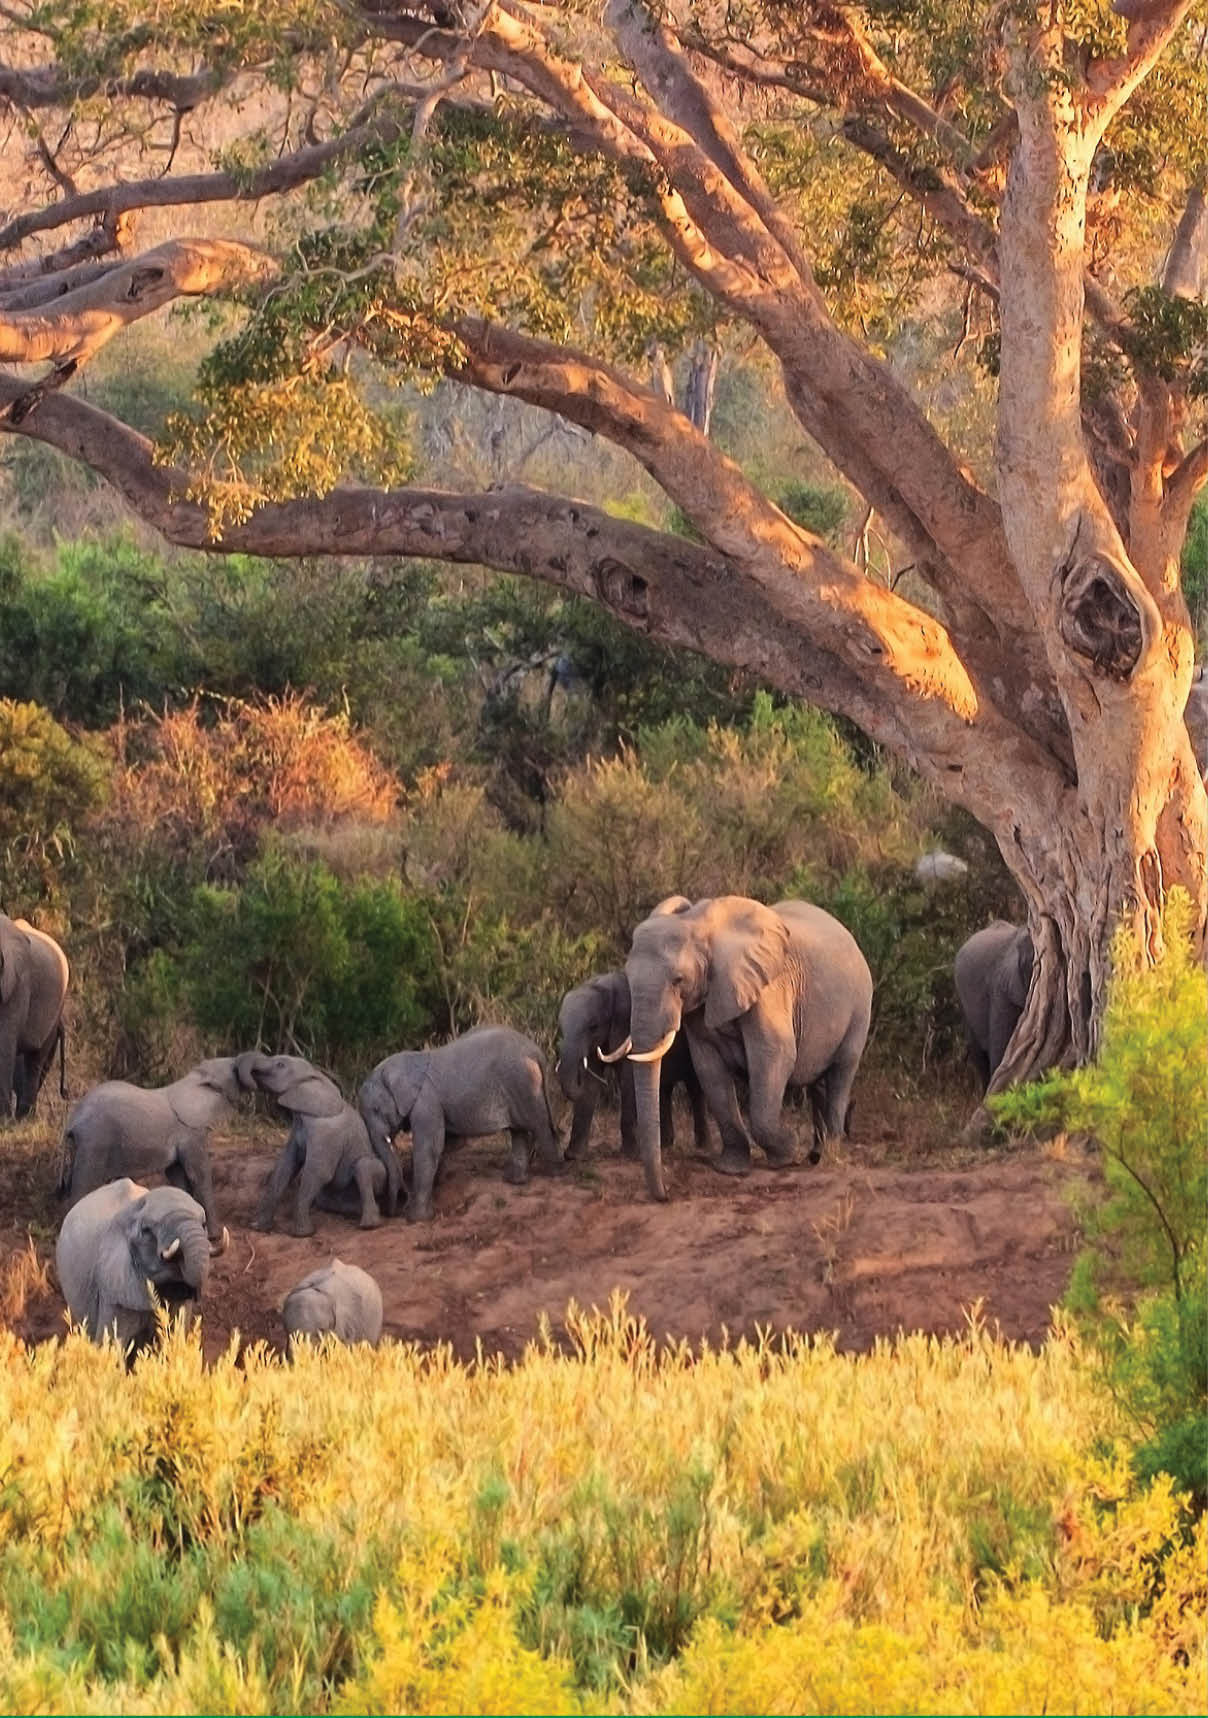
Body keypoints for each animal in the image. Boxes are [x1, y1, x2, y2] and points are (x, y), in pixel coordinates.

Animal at [58, 1057, 245, 1240]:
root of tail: (73, 1121)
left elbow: (177, 1174)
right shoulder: (189, 1133)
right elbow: (198, 1174)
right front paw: (214, 1237)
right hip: (93, 1145)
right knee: (82, 1189)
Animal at [237, 1051, 386, 1236]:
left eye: (280, 1065)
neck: (315, 1076)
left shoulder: (327, 1133)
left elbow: (318, 1172)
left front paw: (302, 1234)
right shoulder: (297, 1129)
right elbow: (285, 1167)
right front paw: (258, 1227)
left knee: (363, 1167)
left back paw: (368, 1225)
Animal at [359, 1025, 563, 1221]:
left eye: (376, 1110)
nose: (393, 1211)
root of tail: (535, 1051)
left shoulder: (426, 1101)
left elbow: (428, 1148)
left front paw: (416, 1219)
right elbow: (448, 1144)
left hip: (523, 1082)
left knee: (540, 1126)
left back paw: (554, 1174)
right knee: (518, 1131)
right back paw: (514, 1181)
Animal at [556, 970, 709, 1161]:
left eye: (593, 1026)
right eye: (561, 1028)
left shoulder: (628, 1028)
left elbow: (628, 1080)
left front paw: (629, 1154)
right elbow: (591, 1086)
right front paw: (574, 1156)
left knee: (694, 1087)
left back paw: (702, 1148)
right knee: (663, 1090)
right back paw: (665, 1146)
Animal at [620, 895, 874, 1201]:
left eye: (678, 980)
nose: (666, 1195)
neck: (700, 925)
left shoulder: (769, 989)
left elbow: (774, 1056)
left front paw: (788, 1152)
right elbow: (709, 1069)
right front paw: (731, 1168)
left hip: (860, 1007)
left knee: (841, 1072)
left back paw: (827, 1156)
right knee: (819, 1085)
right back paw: (815, 1154)